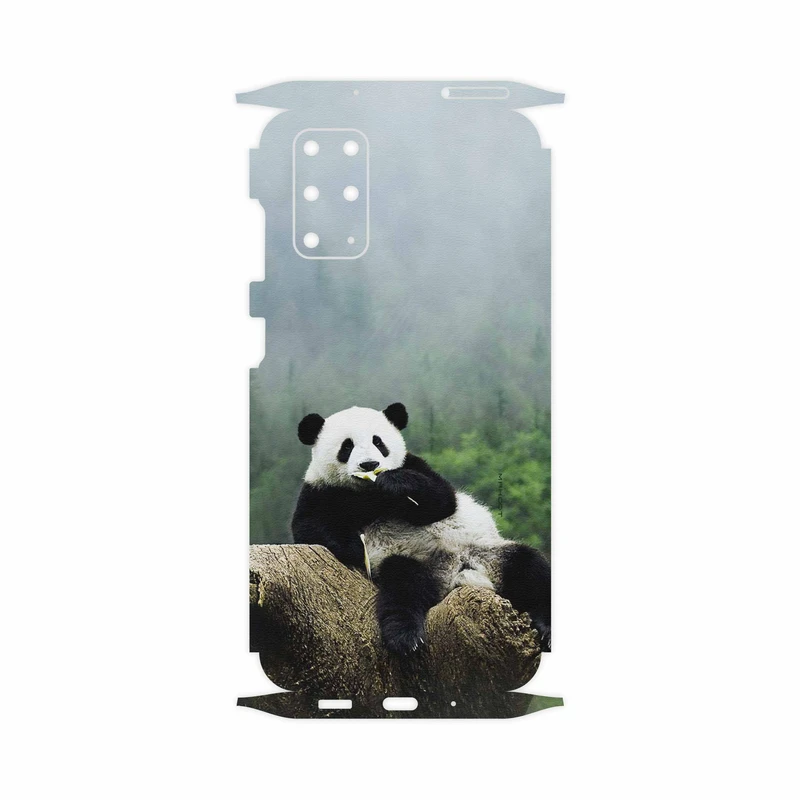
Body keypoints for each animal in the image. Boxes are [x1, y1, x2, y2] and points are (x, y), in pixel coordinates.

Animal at [292, 402, 551, 655]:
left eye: (379, 442)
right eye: (347, 446)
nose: (369, 464)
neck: (368, 493)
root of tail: (456, 574)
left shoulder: (415, 465)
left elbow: (442, 500)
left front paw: (394, 483)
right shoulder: (321, 490)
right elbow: (309, 527)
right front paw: (355, 547)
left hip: (488, 552)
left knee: (530, 568)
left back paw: (546, 629)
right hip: (411, 561)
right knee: (403, 588)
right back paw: (405, 637)